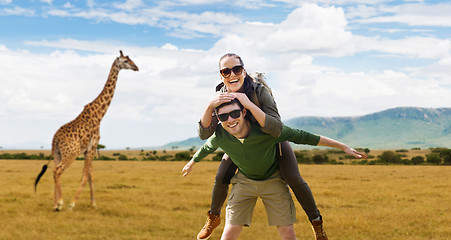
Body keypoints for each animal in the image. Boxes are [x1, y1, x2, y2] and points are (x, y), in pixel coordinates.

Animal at [34, 50, 138, 210]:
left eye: (130, 59)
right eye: (126, 61)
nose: (136, 67)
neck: (99, 114)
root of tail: (55, 139)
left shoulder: (88, 149)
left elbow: (90, 175)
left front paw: (93, 203)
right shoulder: (93, 146)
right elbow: (84, 176)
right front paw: (72, 203)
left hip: (57, 153)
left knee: (54, 170)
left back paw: (55, 204)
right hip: (71, 153)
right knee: (58, 170)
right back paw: (61, 202)